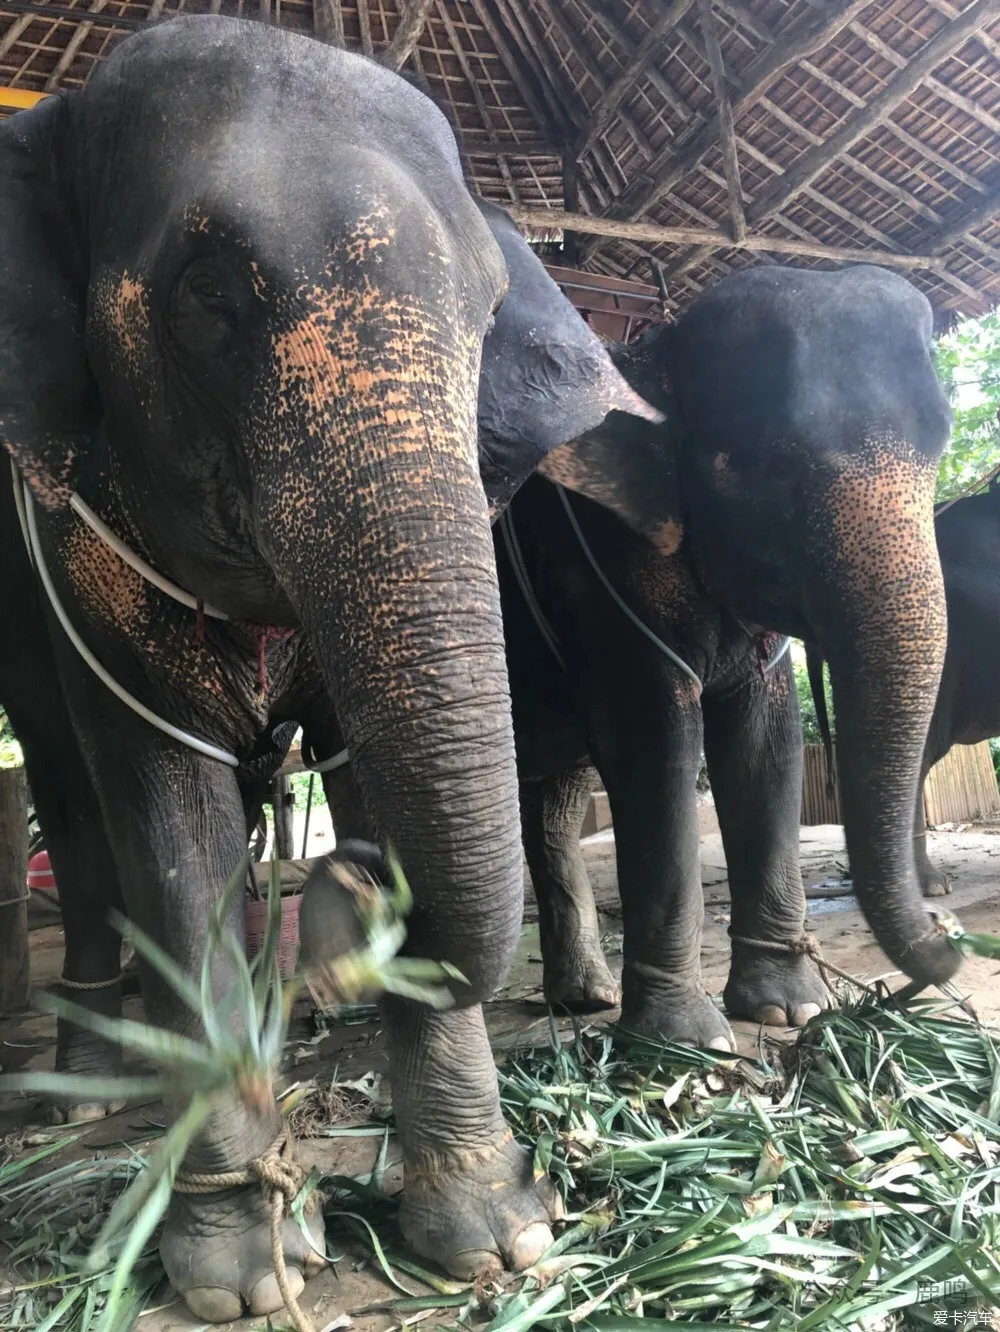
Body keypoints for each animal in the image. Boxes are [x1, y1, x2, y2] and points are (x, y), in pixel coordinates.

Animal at [0, 18, 665, 1321]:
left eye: (484, 317)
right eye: (208, 299)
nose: (344, 886)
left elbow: (374, 766)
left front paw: (497, 1241)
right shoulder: (76, 547)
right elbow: (169, 821)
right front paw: (242, 1274)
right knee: (72, 801)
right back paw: (92, 1079)